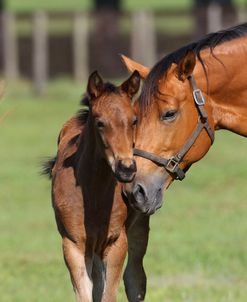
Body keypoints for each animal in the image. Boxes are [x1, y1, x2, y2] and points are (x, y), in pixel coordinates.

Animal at [43, 71, 144, 302]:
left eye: (134, 120)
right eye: (100, 123)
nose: (126, 168)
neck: (94, 195)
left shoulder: (116, 242)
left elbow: (108, 294)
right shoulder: (73, 245)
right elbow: (86, 294)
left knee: (134, 277)